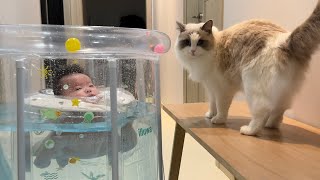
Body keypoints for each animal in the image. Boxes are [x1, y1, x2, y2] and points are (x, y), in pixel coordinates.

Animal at [175, 0, 320, 135]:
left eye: (200, 42)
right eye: (187, 42)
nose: (193, 51)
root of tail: (284, 39)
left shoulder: (222, 88)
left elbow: (221, 107)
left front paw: (218, 120)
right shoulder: (211, 87)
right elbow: (212, 103)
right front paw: (210, 115)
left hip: (252, 86)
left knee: (262, 112)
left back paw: (250, 130)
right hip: (283, 91)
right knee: (279, 110)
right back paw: (270, 125)